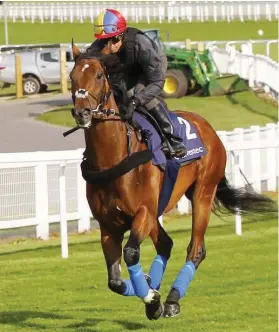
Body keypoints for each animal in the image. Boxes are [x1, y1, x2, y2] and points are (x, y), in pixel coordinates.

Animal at [67, 42, 278, 320]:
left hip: (202, 193)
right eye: (72, 77)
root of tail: (207, 127)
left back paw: (172, 299)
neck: (113, 158)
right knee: (165, 244)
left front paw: (151, 296)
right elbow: (115, 281)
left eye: (100, 75)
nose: (82, 112)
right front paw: (149, 292)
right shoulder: (108, 225)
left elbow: (131, 253)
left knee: (195, 249)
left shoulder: (143, 212)